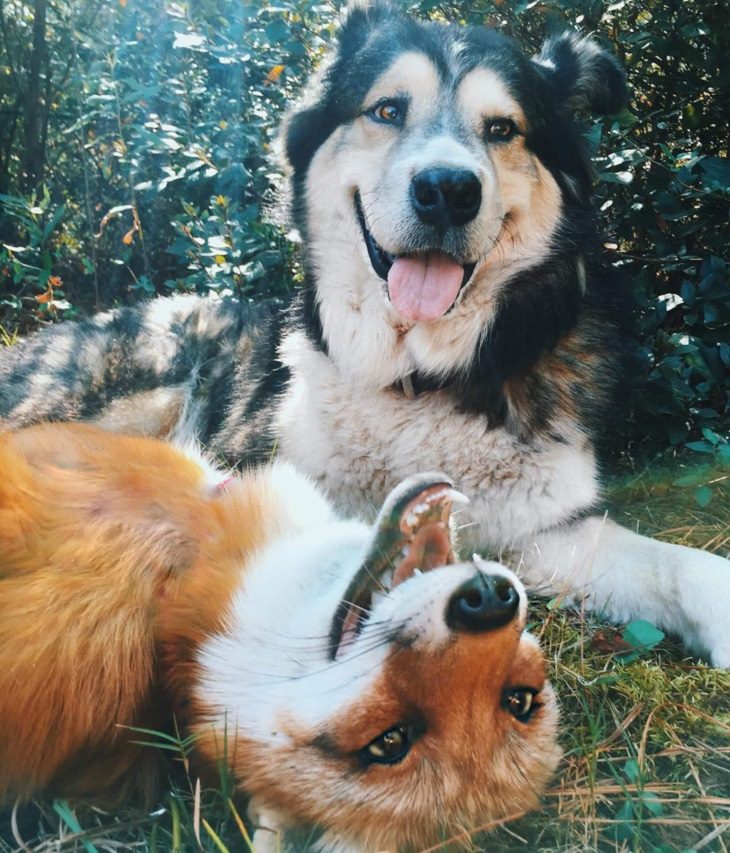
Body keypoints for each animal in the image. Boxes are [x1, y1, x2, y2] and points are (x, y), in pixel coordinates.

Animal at [1, 1, 728, 664]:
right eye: (387, 111)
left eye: (502, 128)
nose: (447, 190)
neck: (416, 377)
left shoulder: (542, 529)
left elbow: (684, 565)